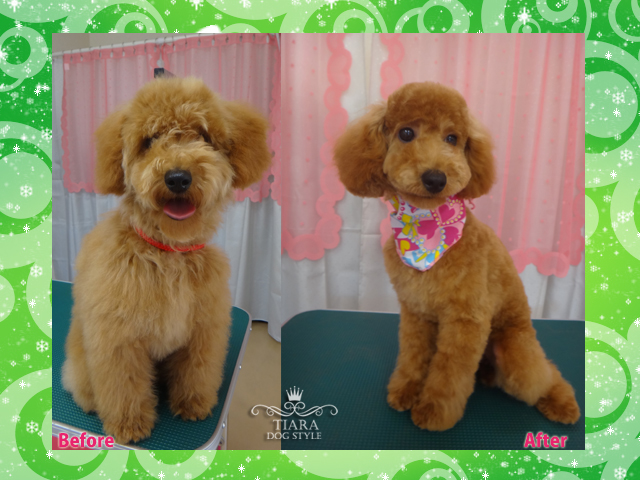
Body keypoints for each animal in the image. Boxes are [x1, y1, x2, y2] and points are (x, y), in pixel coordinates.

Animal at [61, 77, 272, 444]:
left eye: (202, 135)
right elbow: (124, 384)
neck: (167, 253)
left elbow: (197, 370)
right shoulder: (119, 339)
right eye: (149, 141)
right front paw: (129, 424)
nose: (177, 178)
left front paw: (193, 404)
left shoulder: (203, 329)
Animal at [333, 81, 580, 431]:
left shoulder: (466, 320)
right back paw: (488, 377)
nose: (436, 178)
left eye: (452, 138)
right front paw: (406, 390)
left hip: (514, 350)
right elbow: (413, 354)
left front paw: (434, 411)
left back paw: (561, 403)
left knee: (543, 375)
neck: (427, 230)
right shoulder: (416, 312)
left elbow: (450, 371)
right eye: (406, 133)